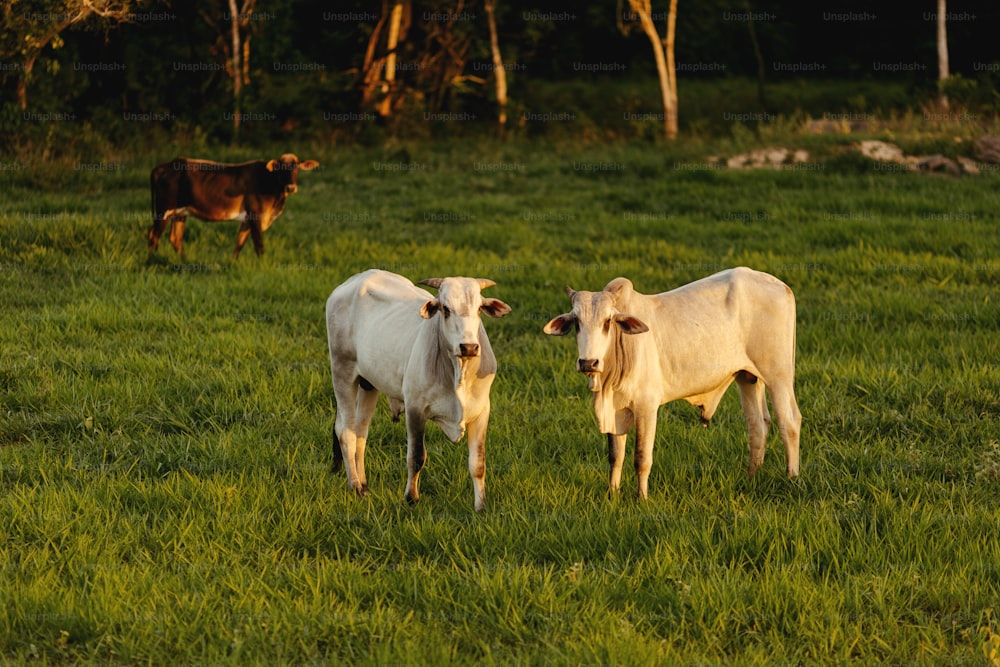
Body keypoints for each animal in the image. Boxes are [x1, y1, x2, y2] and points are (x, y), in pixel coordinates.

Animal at [148, 155, 318, 260]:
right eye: (281, 167)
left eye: (297, 167)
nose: (291, 187)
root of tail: (163, 166)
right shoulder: (256, 216)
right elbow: (259, 245)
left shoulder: (247, 219)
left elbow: (239, 243)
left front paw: (232, 264)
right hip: (164, 210)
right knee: (153, 235)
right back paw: (152, 260)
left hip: (180, 213)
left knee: (175, 238)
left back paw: (185, 262)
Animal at [328, 268, 512, 508]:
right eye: (445, 309)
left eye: (479, 308)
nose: (469, 347)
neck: (458, 372)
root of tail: (354, 280)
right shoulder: (415, 409)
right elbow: (416, 457)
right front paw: (411, 498)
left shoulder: (482, 412)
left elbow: (478, 463)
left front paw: (481, 506)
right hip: (342, 372)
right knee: (345, 432)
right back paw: (356, 486)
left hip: (368, 384)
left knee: (360, 432)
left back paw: (365, 485)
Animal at [544, 268, 800, 498]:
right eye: (577, 322)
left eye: (608, 321)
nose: (588, 362)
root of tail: (782, 286)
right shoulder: (616, 410)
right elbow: (615, 457)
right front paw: (612, 495)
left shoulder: (646, 407)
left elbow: (641, 458)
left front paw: (642, 499)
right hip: (747, 377)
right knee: (758, 425)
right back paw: (751, 476)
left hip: (779, 375)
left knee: (789, 422)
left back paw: (792, 478)